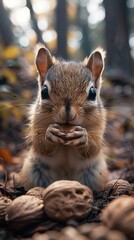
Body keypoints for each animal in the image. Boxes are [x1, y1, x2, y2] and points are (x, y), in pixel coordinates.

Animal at [20, 45, 108, 191]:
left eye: (92, 93)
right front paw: (50, 133)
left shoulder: (98, 125)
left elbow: (93, 147)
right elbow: (40, 144)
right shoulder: (36, 122)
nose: (68, 113)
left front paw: (83, 136)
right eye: (44, 91)